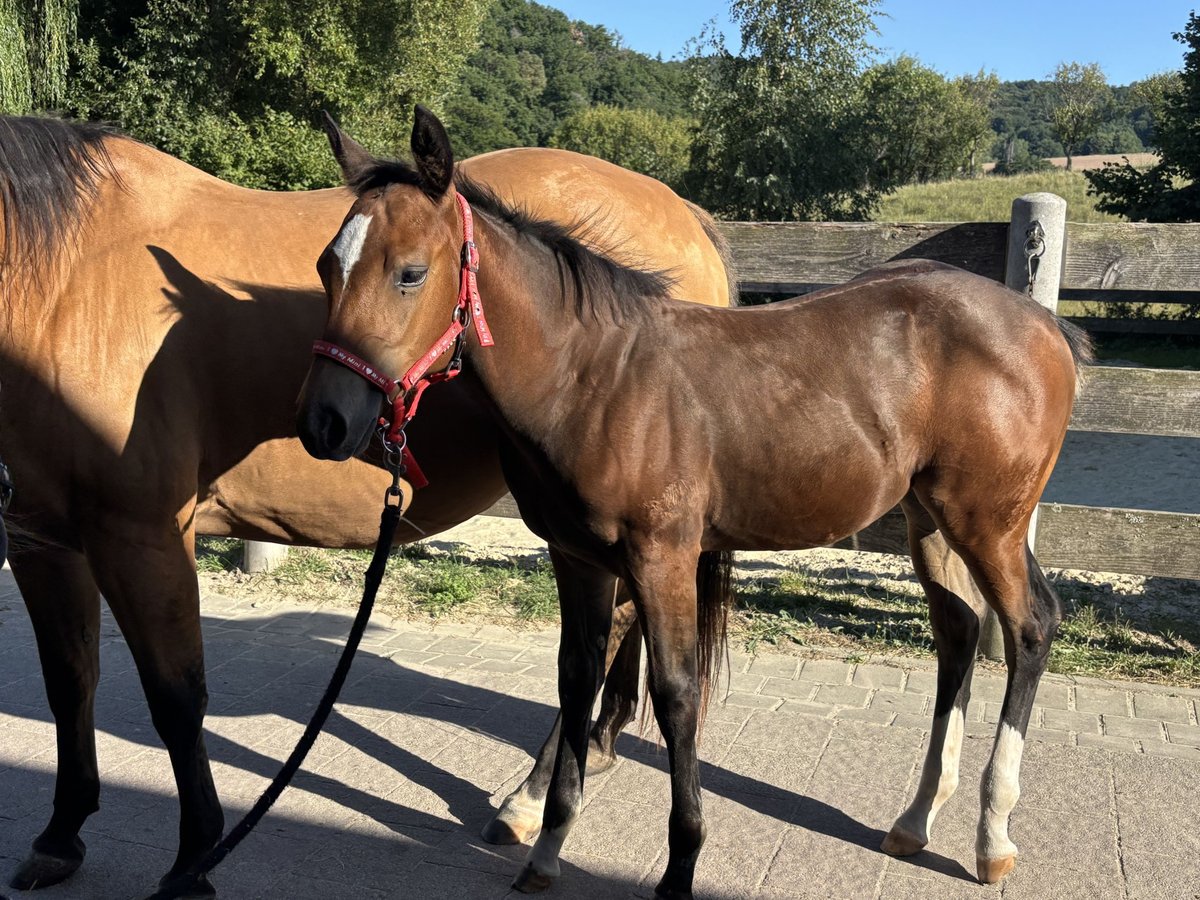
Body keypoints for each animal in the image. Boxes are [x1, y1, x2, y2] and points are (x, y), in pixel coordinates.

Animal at [0, 115, 733, 894]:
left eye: (410, 274)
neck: (65, 278)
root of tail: (683, 213)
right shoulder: (40, 537)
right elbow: (69, 681)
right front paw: (62, 831)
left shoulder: (142, 536)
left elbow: (175, 699)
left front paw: (195, 858)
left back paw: (534, 799)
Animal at [297, 106, 1092, 899]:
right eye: (327, 266)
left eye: (410, 272)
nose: (323, 423)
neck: (595, 381)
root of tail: (1046, 325)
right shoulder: (579, 559)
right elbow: (576, 680)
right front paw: (546, 846)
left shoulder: (663, 558)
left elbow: (677, 694)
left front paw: (679, 866)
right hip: (929, 518)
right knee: (958, 629)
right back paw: (917, 818)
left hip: (987, 522)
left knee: (1030, 626)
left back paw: (993, 835)